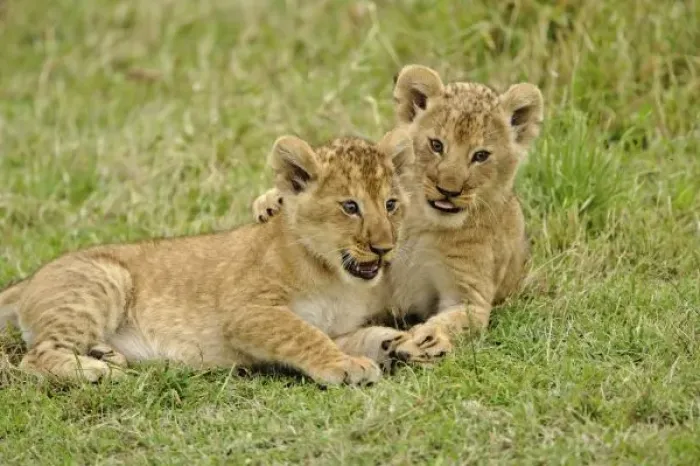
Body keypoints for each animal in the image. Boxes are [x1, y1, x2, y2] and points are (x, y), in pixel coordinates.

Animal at [0, 130, 436, 385]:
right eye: (350, 207)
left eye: (391, 204)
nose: (384, 247)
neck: (334, 276)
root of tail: (30, 279)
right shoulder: (247, 312)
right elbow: (303, 334)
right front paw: (347, 367)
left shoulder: (337, 326)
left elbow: (362, 334)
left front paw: (402, 342)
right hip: (105, 280)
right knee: (34, 358)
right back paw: (96, 370)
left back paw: (104, 354)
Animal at [253, 65, 544, 355]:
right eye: (436, 145)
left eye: (481, 156)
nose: (448, 190)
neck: (423, 223)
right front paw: (271, 202)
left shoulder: (470, 293)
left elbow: (459, 317)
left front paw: (428, 338)